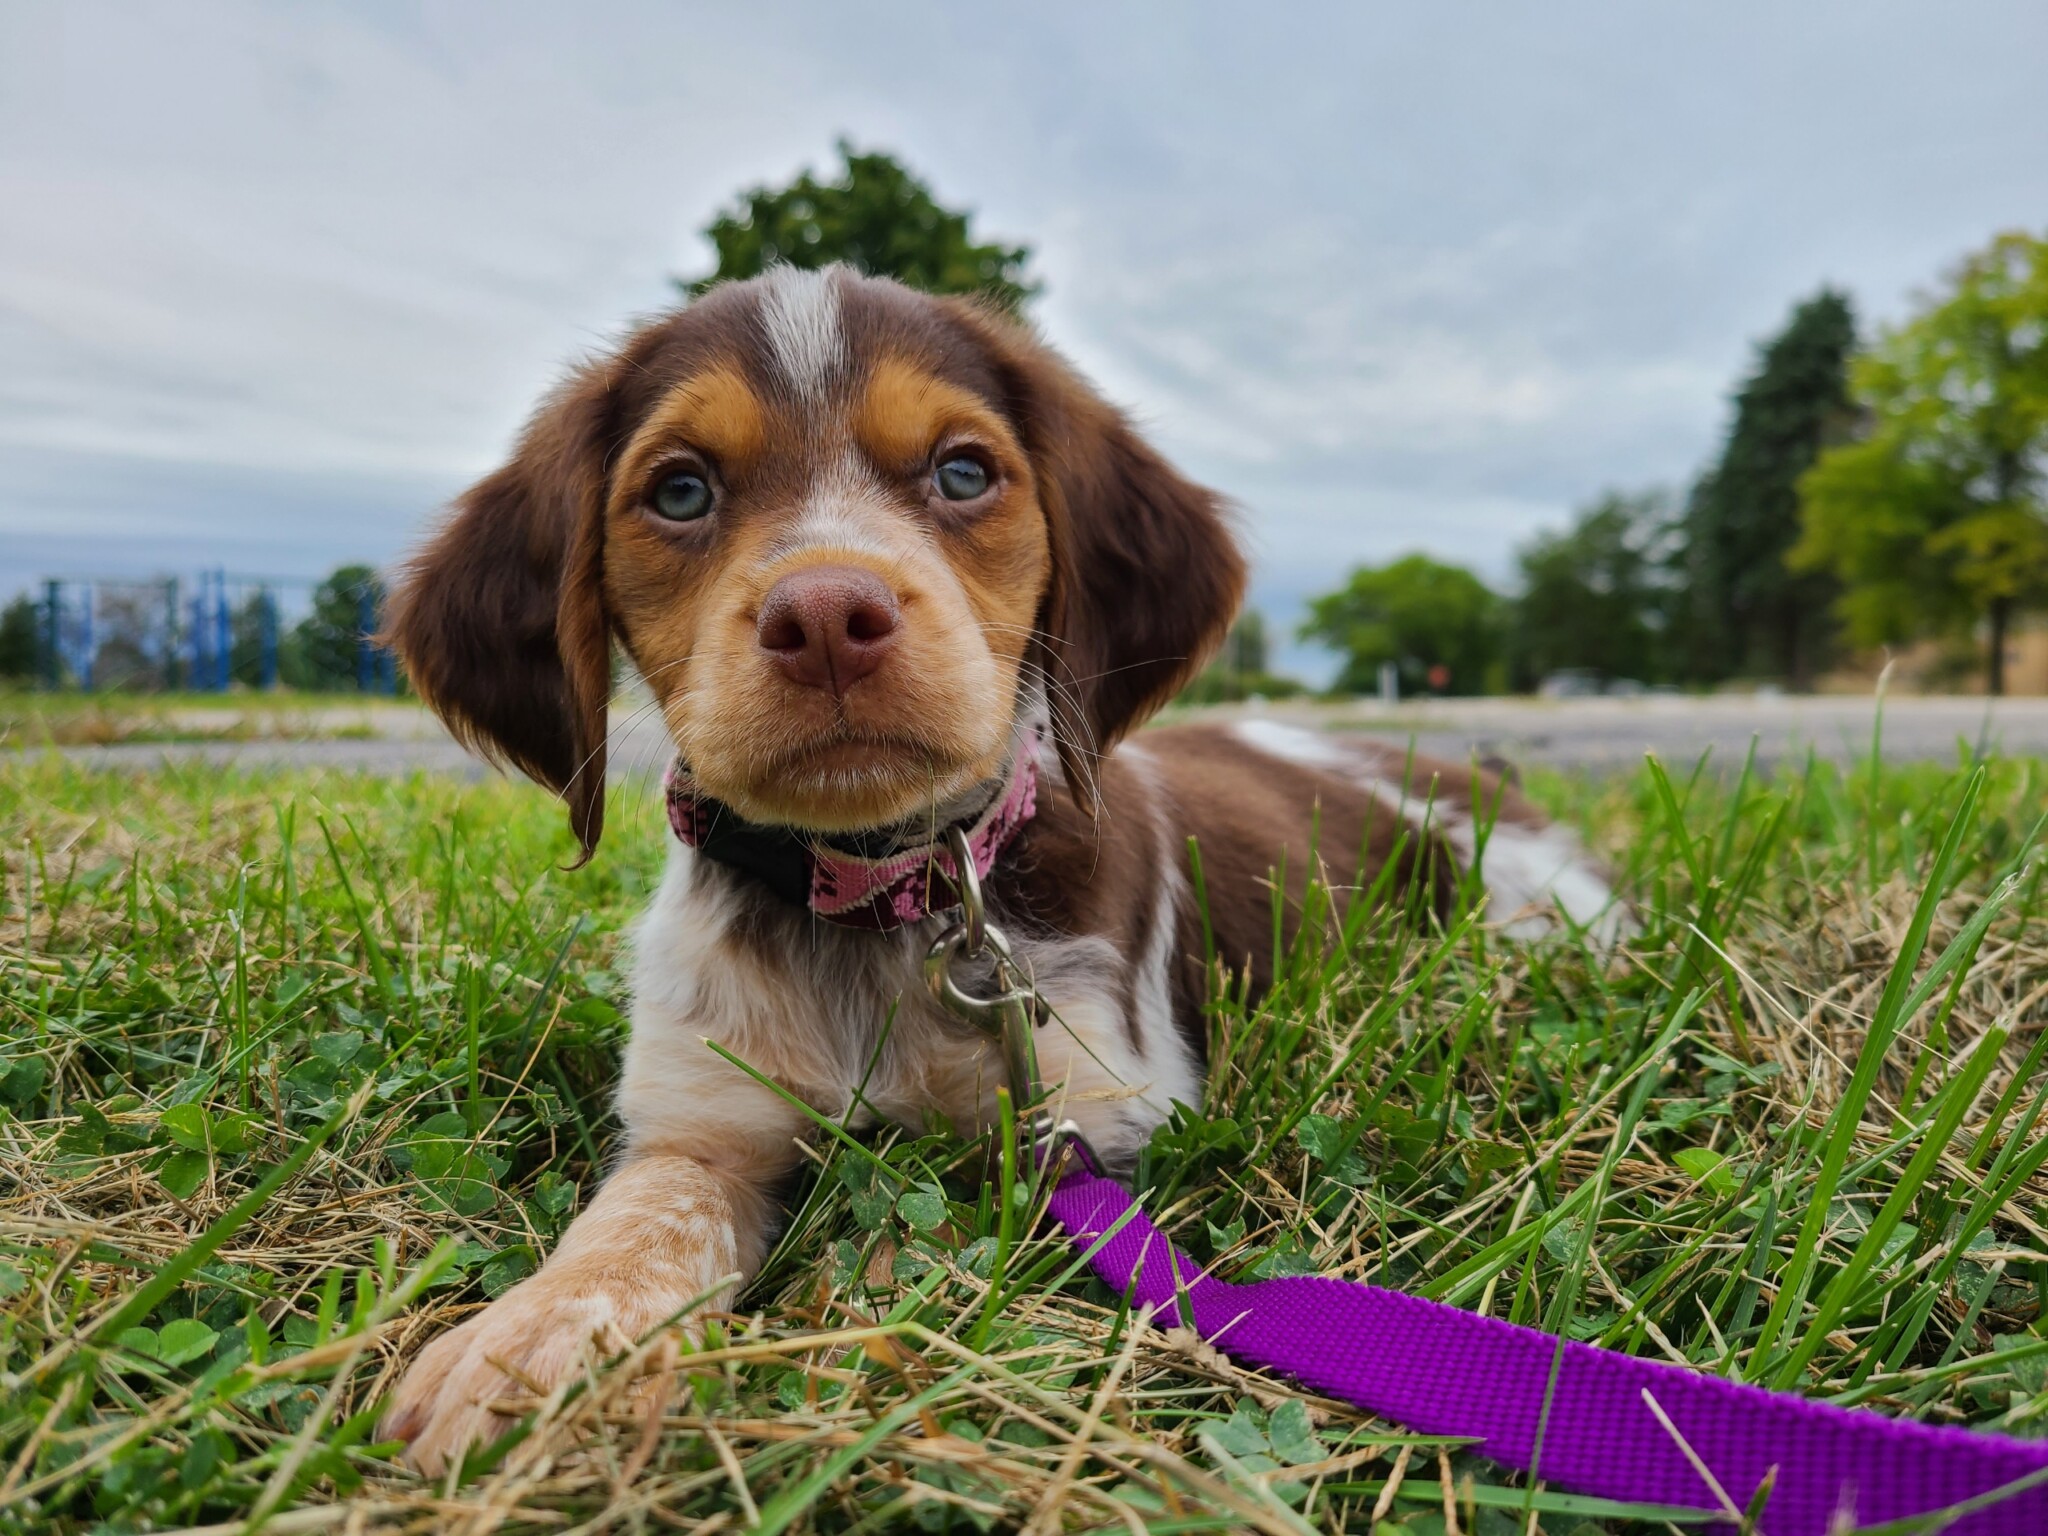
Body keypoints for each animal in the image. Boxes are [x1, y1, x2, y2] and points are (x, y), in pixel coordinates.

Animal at [380, 268, 1630, 1482]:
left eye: (963, 471)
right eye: (680, 492)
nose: (824, 614)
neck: (885, 899)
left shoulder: (1088, 1125)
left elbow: (912, 1234)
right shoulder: (696, 1116)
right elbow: (645, 1220)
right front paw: (534, 1344)